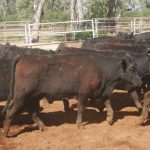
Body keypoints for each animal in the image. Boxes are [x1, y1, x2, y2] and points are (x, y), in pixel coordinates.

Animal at [2, 53, 141, 137]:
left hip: (33, 97)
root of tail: (24, 57)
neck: (101, 68)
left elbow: (109, 104)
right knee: (10, 112)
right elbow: (81, 109)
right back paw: (5, 133)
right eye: (131, 68)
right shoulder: (83, 94)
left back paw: (44, 128)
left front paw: (110, 119)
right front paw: (79, 125)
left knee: (33, 113)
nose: (140, 82)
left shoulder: (101, 92)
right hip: (21, 97)